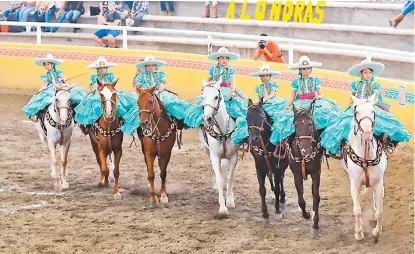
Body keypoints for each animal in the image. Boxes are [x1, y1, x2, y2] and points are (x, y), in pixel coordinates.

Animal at [198, 79, 240, 216]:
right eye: (203, 96)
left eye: (216, 97)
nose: (207, 118)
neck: (222, 131)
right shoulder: (215, 155)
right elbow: (220, 178)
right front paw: (222, 208)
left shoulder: (234, 156)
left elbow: (230, 177)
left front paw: (230, 201)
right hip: (208, 151)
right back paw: (215, 186)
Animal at [288, 99, 326, 236]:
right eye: (295, 125)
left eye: (310, 124)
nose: (305, 150)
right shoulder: (297, 175)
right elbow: (300, 199)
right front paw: (306, 214)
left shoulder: (316, 173)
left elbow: (316, 197)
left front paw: (315, 224)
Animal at [340, 94, 388, 241]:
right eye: (356, 112)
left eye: (373, 111)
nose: (367, 133)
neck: (366, 157)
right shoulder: (355, 183)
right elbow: (357, 210)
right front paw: (359, 233)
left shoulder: (379, 184)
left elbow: (380, 212)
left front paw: (377, 231)